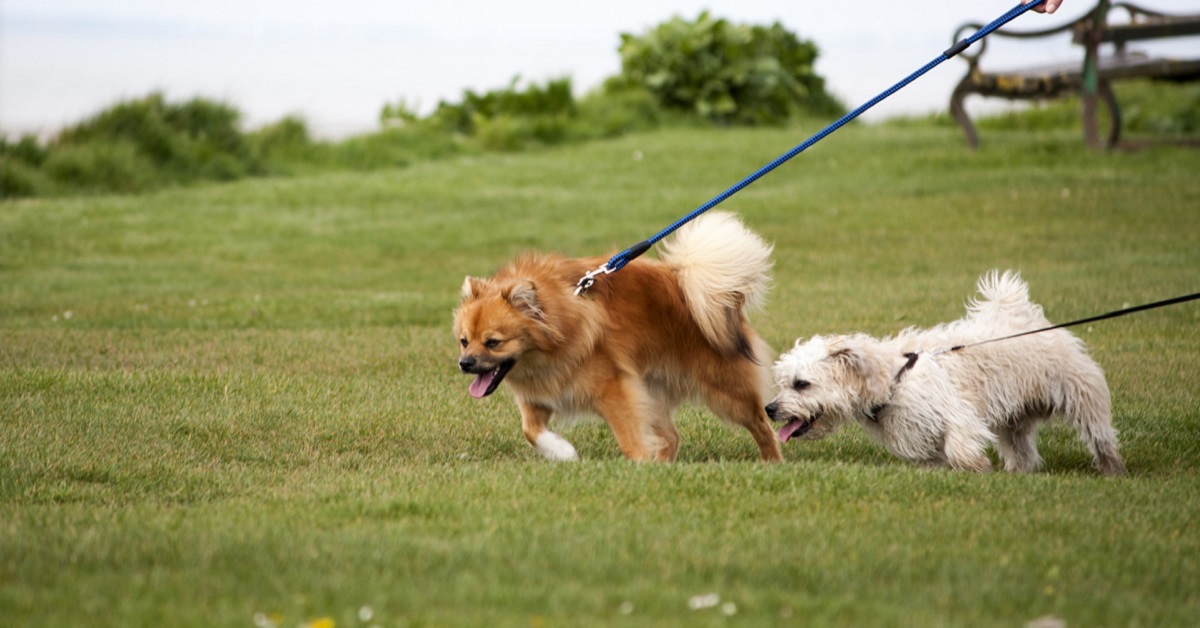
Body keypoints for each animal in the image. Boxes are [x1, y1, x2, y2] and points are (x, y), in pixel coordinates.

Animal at [451, 211, 777, 461]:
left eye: (493, 342)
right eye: (464, 341)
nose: (465, 364)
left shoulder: (614, 390)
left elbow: (629, 438)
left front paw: (638, 463)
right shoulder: (542, 396)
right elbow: (530, 431)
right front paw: (562, 452)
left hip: (726, 392)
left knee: (762, 425)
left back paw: (771, 462)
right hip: (651, 390)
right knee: (671, 437)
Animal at [768, 271, 1123, 477]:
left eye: (801, 384)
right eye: (782, 383)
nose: (770, 408)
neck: (894, 378)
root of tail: (1029, 318)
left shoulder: (958, 414)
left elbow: (958, 446)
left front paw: (976, 467)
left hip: (1082, 395)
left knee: (1101, 438)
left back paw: (1113, 470)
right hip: (1013, 422)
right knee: (1022, 450)